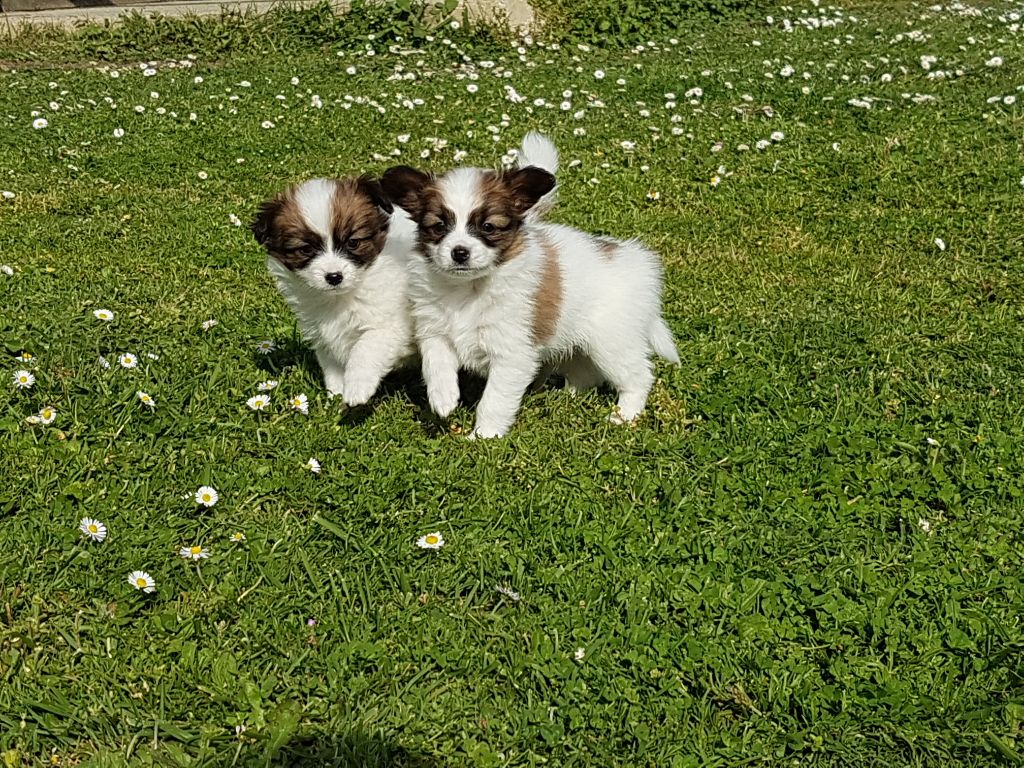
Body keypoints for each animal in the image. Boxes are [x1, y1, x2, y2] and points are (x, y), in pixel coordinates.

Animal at [251, 173, 415, 403]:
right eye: (306, 249)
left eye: (353, 242)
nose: (334, 277)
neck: (342, 296)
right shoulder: (324, 337)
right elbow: (332, 367)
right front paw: (336, 395)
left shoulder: (389, 325)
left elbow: (365, 349)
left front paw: (357, 388)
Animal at [380, 135, 675, 438]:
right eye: (439, 227)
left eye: (488, 227)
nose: (459, 252)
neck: (468, 288)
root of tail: (638, 263)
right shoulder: (435, 330)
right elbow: (435, 363)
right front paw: (443, 399)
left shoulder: (512, 353)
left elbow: (494, 399)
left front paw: (484, 436)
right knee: (585, 371)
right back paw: (567, 396)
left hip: (611, 342)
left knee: (638, 376)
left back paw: (624, 415)